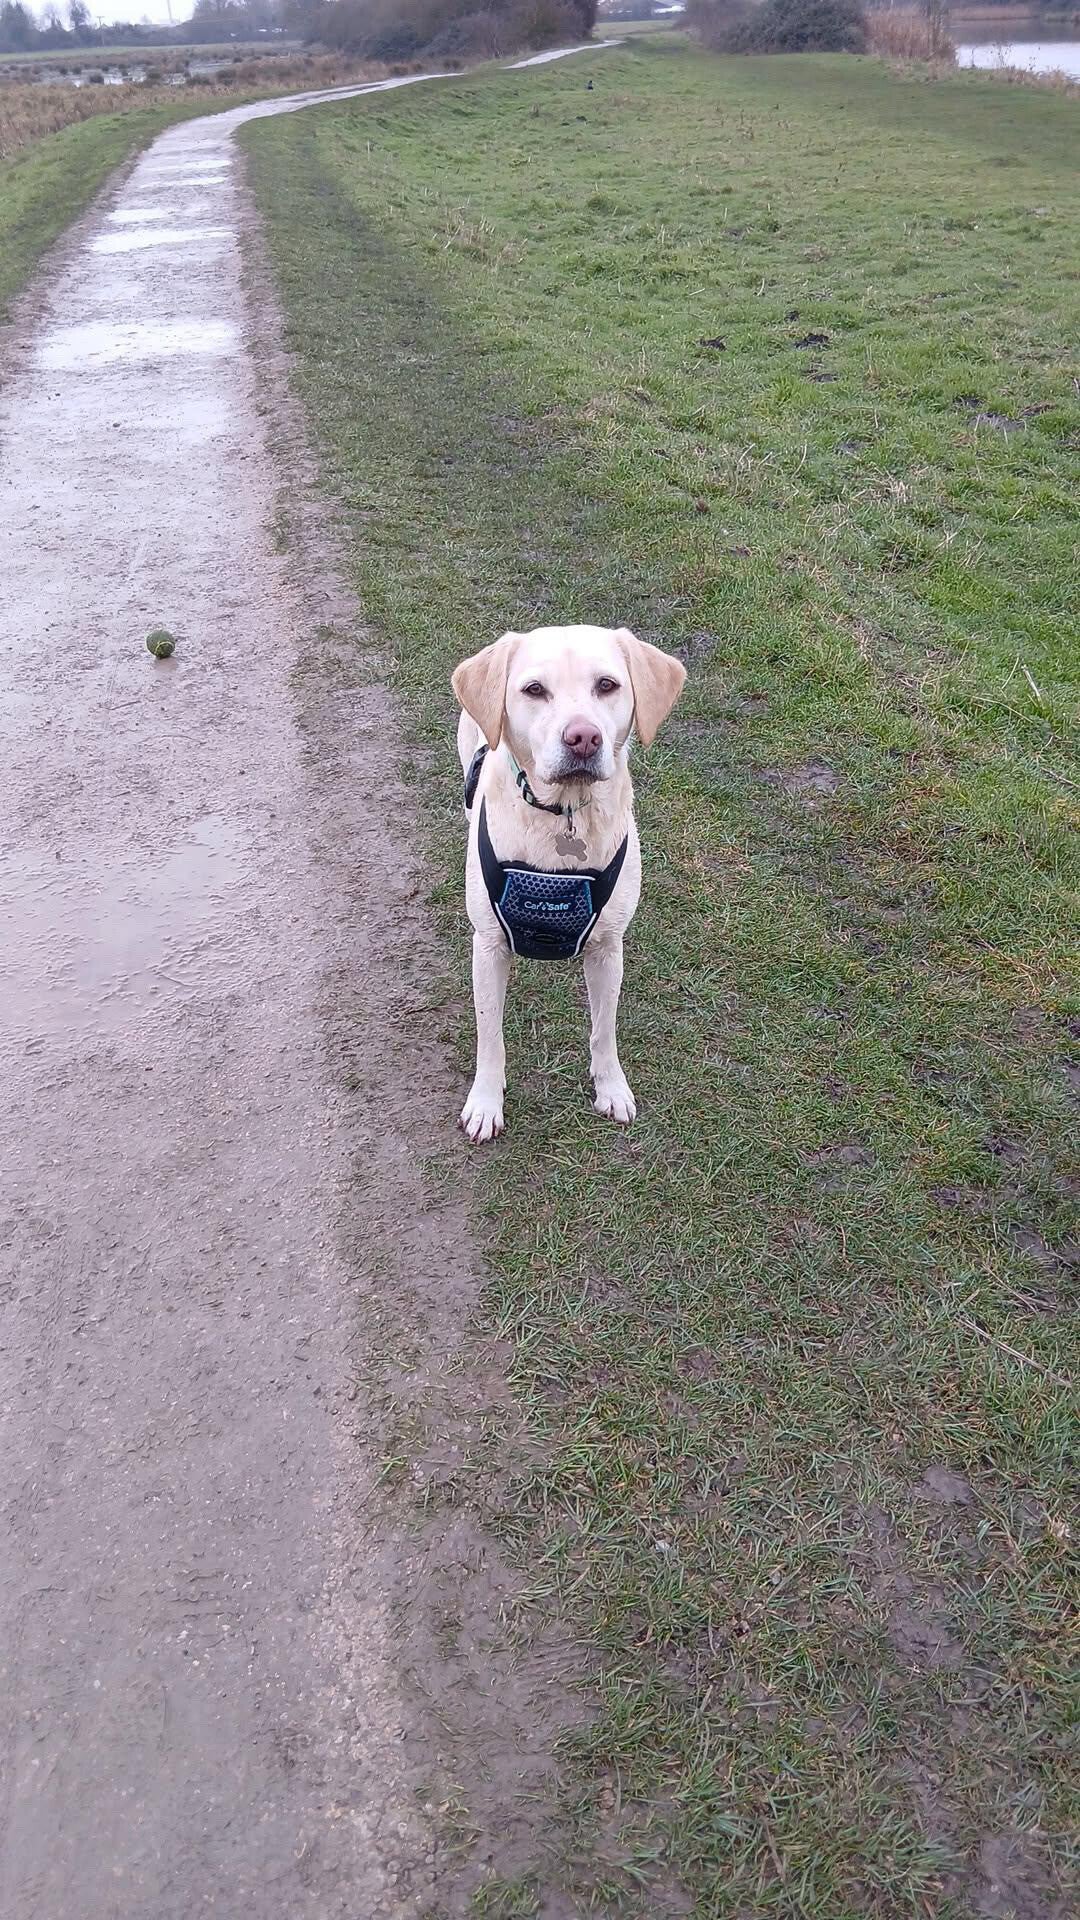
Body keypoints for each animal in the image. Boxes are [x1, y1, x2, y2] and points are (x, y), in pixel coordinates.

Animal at [452, 624, 686, 1142]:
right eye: (535, 690)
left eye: (607, 685)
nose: (584, 737)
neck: (563, 812)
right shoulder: (488, 946)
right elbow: (489, 1033)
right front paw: (485, 1102)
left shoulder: (608, 948)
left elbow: (604, 1028)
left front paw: (611, 1086)